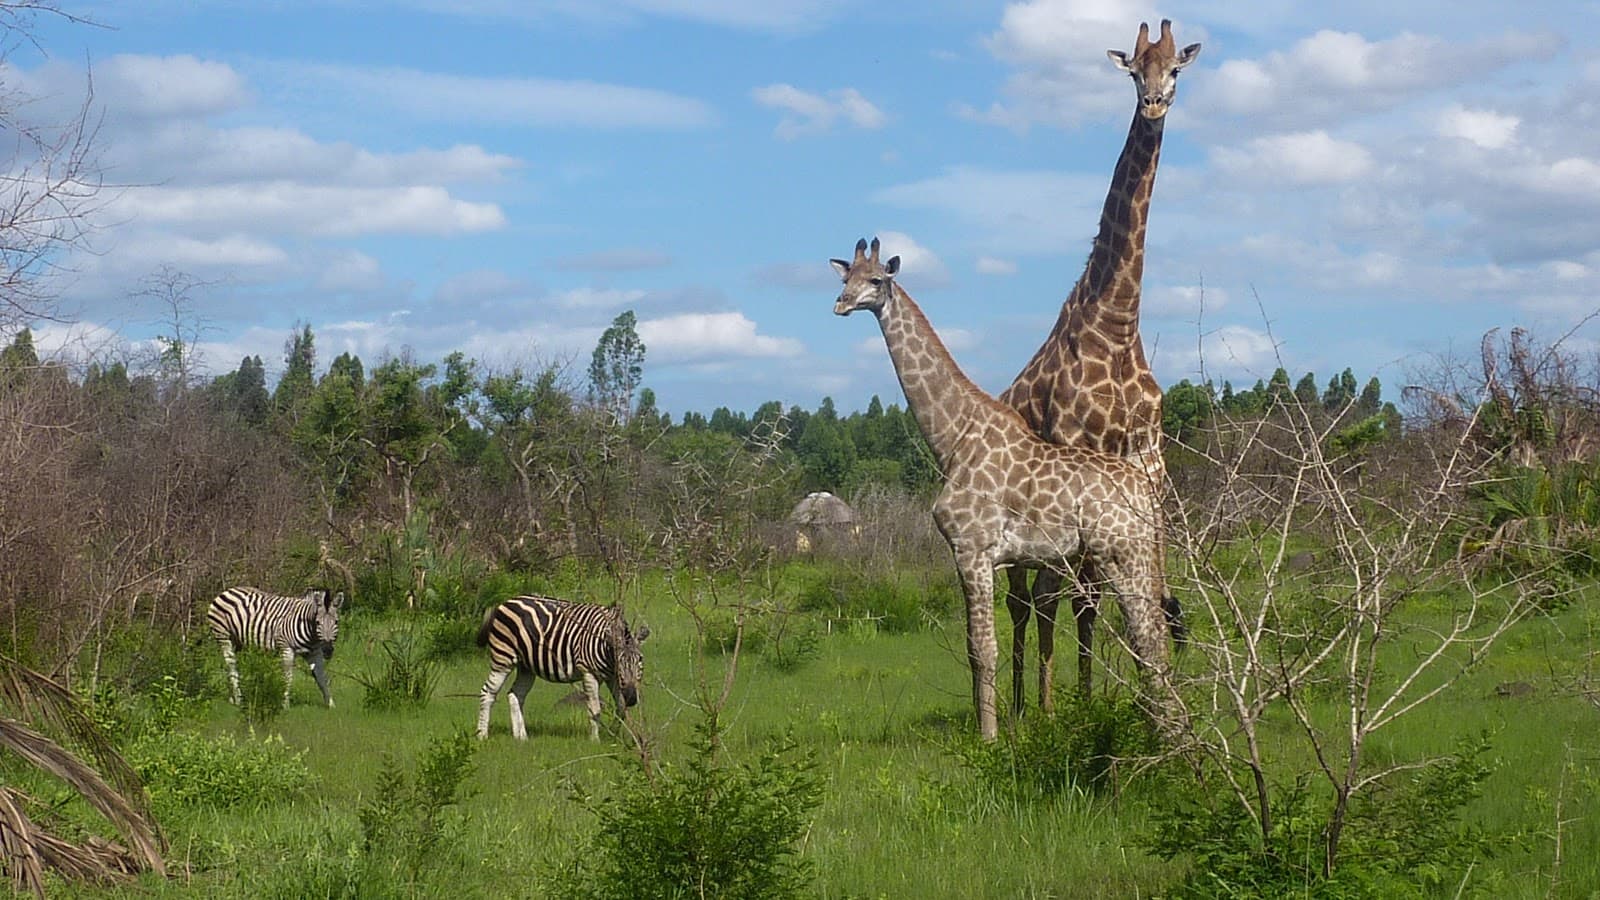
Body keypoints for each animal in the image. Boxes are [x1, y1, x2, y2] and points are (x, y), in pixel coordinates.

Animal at [207, 586, 344, 709]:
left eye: (336, 622)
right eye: (318, 622)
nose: (328, 650)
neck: (312, 635)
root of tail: (227, 590)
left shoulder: (315, 652)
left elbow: (322, 678)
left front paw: (331, 705)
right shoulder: (287, 649)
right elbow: (288, 678)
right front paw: (285, 705)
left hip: (238, 643)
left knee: (230, 667)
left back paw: (232, 699)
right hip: (224, 638)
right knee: (232, 667)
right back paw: (239, 700)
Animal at [475, 596, 649, 742]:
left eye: (640, 659)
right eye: (619, 661)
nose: (632, 697)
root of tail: (505, 603)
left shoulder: (612, 677)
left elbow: (621, 707)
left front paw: (611, 734)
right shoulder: (589, 672)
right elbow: (595, 708)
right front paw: (595, 740)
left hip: (526, 667)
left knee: (516, 695)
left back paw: (521, 737)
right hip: (503, 658)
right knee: (488, 692)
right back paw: (482, 735)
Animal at [831, 237, 1172, 741]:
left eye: (876, 280)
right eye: (844, 277)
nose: (841, 304)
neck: (953, 438)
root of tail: (1146, 489)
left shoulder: (973, 549)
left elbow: (982, 647)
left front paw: (988, 737)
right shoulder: (978, 555)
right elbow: (977, 646)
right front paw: (989, 724)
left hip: (1119, 551)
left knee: (1146, 631)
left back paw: (1165, 734)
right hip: (1134, 552)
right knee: (1153, 631)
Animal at [998, 19, 1200, 714]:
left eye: (1175, 69)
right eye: (1135, 71)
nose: (1155, 105)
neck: (1116, 323)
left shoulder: (1148, 460)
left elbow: (1111, 595)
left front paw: (1096, 702)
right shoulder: (1071, 450)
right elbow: (1064, 597)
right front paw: (1052, 710)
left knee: (1054, 597)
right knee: (1026, 600)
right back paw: (1021, 706)